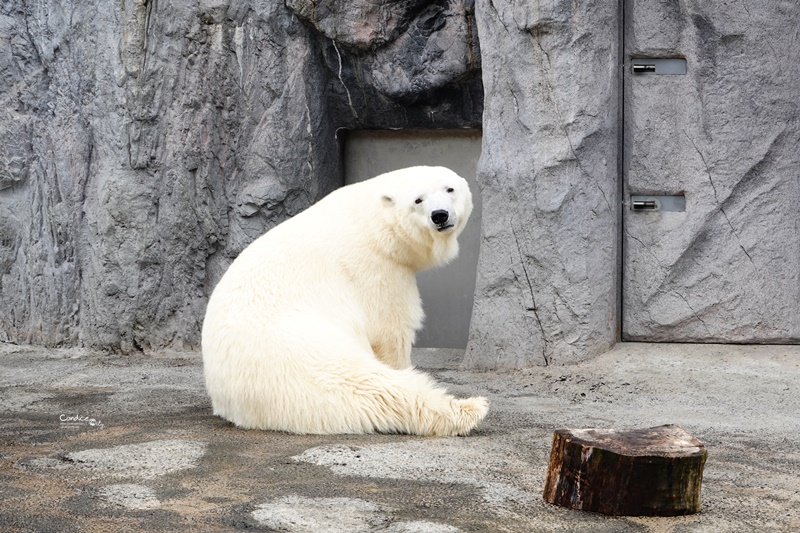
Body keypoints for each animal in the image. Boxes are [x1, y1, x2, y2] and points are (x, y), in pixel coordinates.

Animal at [202, 166, 488, 436]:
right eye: (418, 200)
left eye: (450, 189)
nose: (440, 215)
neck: (372, 223)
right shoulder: (376, 269)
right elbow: (390, 331)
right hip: (301, 352)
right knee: (370, 386)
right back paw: (469, 409)